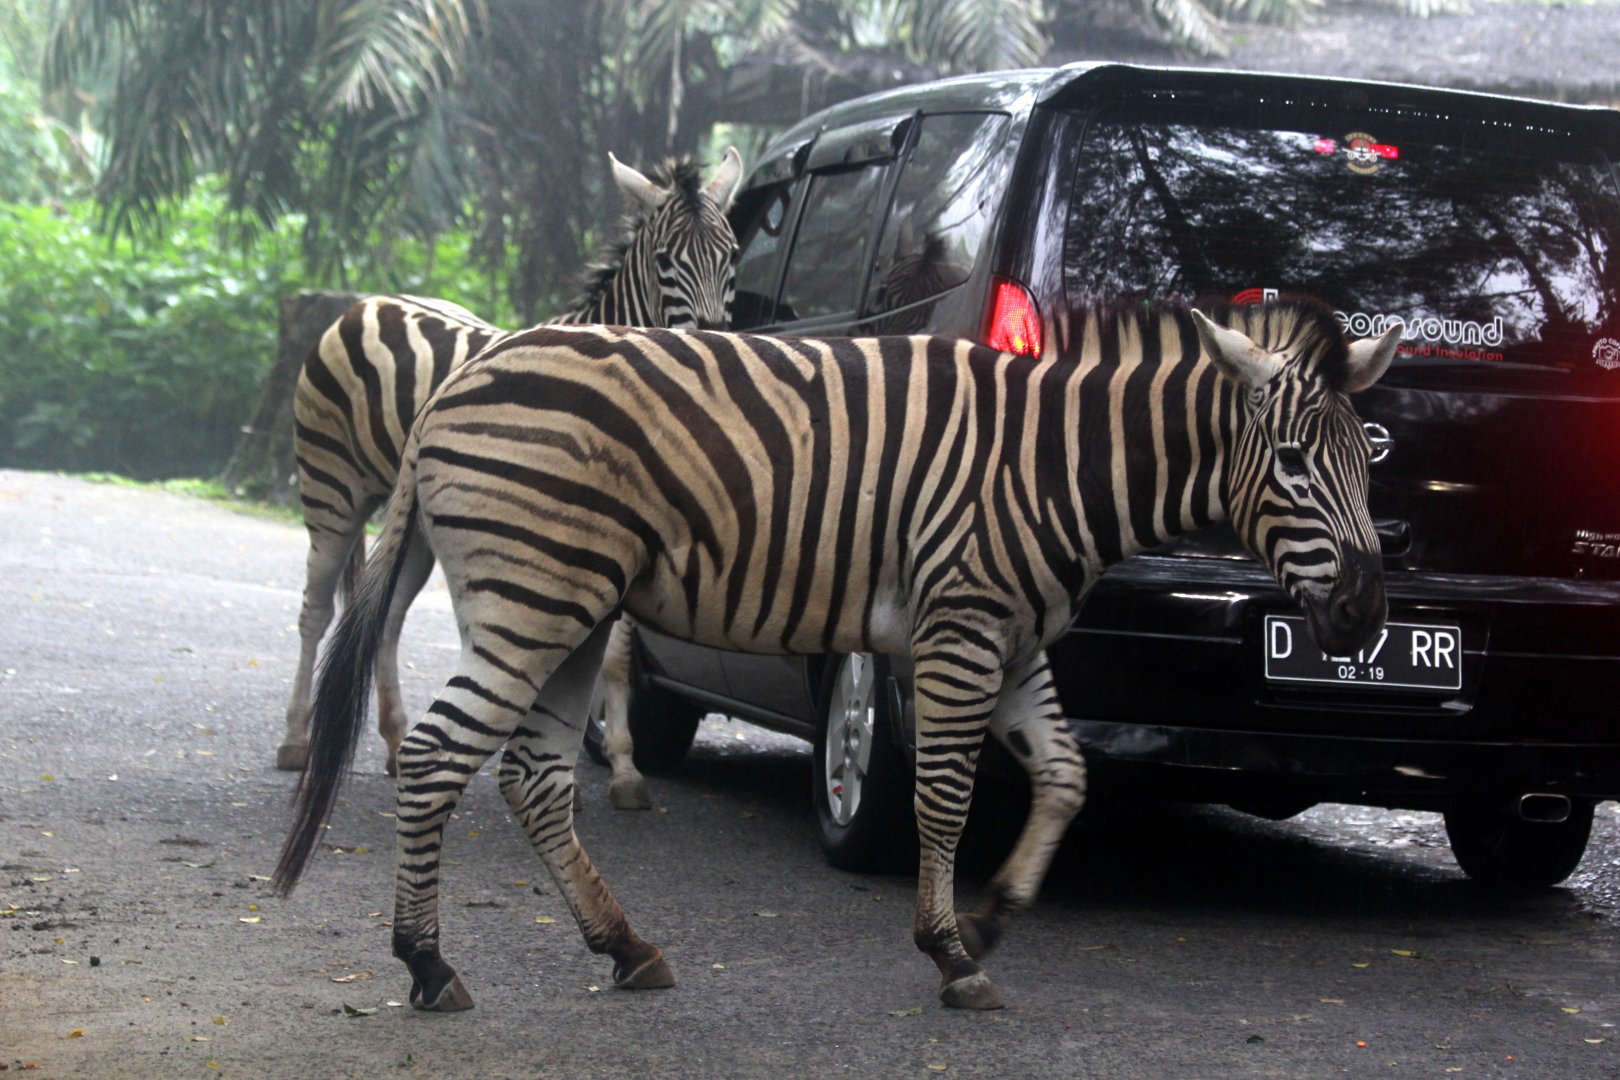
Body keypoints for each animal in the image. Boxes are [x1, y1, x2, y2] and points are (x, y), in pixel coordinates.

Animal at [273, 298, 1400, 1012]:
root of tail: (461, 377)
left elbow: (1067, 778)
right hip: (536, 597)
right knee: (437, 756)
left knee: (533, 776)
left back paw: (625, 947)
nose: (1363, 617)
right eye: (1294, 464)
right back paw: (426, 965)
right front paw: (950, 950)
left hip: (571, 608)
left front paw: (996, 917)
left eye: (1365, 463)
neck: (1061, 467)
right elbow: (944, 796)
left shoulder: (1015, 637)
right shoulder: (960, 627)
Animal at [275, 147, 744, 803]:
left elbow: (616, 656)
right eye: (664, 262)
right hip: (331, 491)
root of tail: (368, 301)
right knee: (315, 609)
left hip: (414, 525)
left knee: (386, 620)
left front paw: (624, 768)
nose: (715, 343)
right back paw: (296, 740)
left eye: (732, 254)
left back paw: (395, 741)